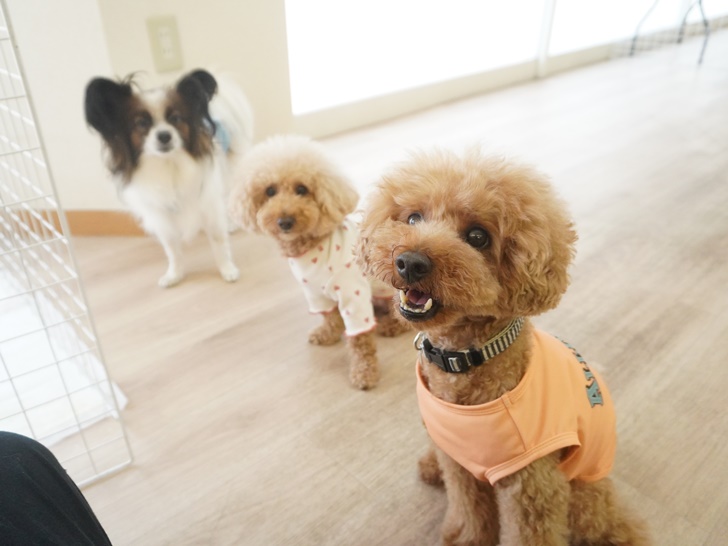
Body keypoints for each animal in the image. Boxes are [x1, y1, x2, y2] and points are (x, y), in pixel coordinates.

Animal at [84, 69, 253, 287]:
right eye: (142, 123)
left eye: (175, 119)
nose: (164, 136)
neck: (168, 165)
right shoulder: (162, 215)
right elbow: (172, 249)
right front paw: (174, 275)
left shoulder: (207, 202)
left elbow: (218, 241)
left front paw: (227, 269)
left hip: (230, 169)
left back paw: (232, 223)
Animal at [228, 134, 408, 389]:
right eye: (270, 191)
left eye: (302, 189)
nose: (285, 221)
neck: (313, 248)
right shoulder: (315, 293)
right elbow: (330, 317)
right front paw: (327, 334)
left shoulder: (353, 294)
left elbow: (360, 340)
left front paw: (364, 373)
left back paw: (390, 326)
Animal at [357, 147, 651, 545]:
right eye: (414, 217)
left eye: (477, 236)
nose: (409, 262)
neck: (465, 359)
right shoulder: (458, 464)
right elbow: (468, 510)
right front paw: (465, 535)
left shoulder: (532, 486)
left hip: (584, 497)